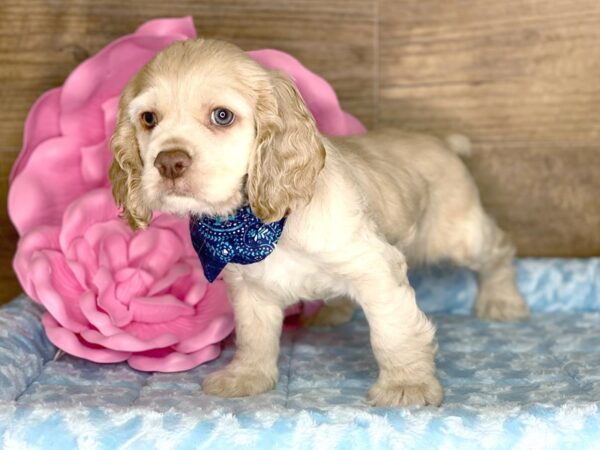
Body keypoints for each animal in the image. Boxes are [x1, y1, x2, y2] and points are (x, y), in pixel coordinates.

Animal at [110, 39, 528, 408]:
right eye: (149, 119)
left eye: (222, 116)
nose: (169, 162)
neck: (262, 225)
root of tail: (444, 143)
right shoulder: (251, 288)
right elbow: (254, 336)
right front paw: (247, 376)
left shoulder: (377, 268)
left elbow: (393, 333)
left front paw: (406, 386)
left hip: (459, 235)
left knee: (500, 248)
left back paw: (502, 301)